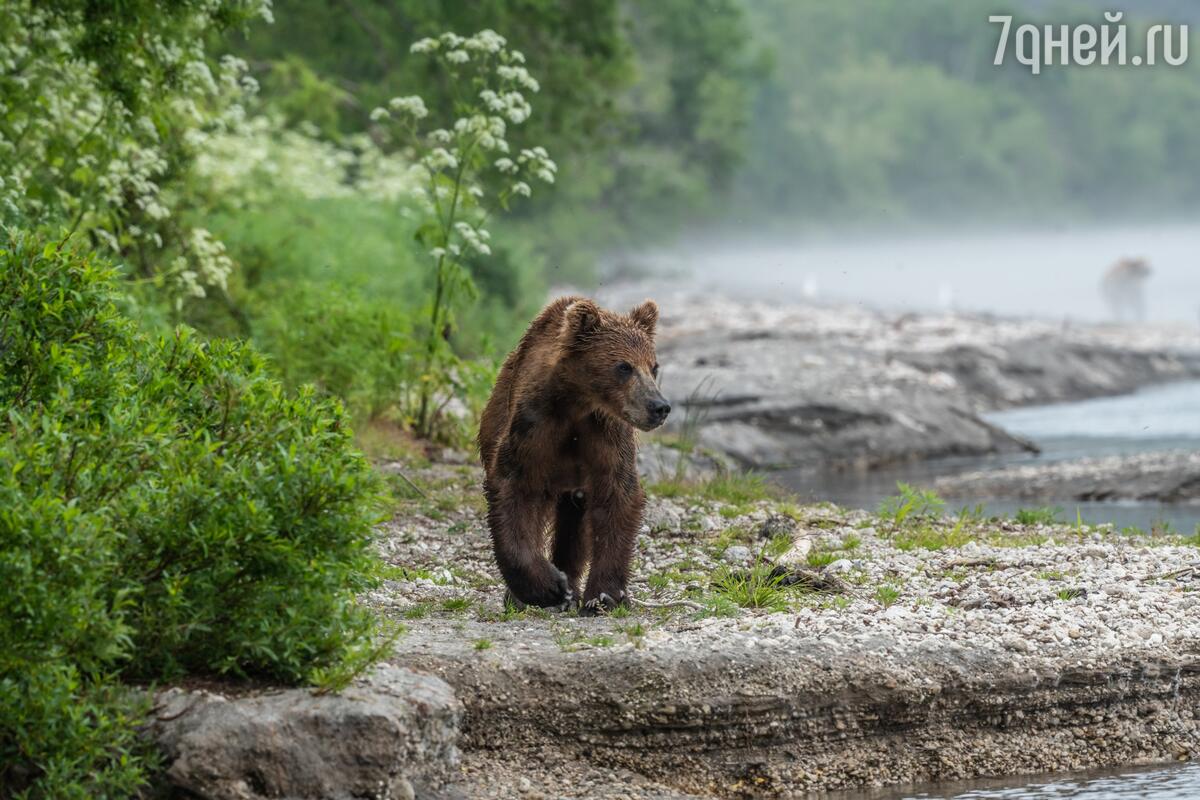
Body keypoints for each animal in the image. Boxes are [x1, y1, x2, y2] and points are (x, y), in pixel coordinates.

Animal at [477, 293, 672, 614]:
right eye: (624, 366)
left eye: (654, 366)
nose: (659, 406)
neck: (577, 404)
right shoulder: (534, 428)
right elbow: (514, 489)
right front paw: (548, 588)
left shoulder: (607, 436)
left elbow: (617, 495)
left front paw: (604, 595)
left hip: (576, 488)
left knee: (574, 526)